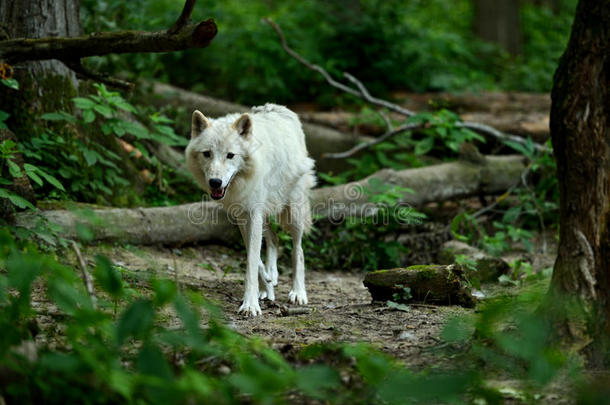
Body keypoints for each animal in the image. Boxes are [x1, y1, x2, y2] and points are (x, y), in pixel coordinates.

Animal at [185, 102, 316, 314]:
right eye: (207, 154)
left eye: (230, 155)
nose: (215, 182)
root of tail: (280, 108)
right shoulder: (241, 214)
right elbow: (253, 256)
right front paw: (267, 285)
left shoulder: (253, 213)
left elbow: (252, 261)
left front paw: (250, 305)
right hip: (265, 213)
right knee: (274, 238)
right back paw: (271, 279)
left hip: (293, 213)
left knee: (299, 250)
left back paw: (298, 293)